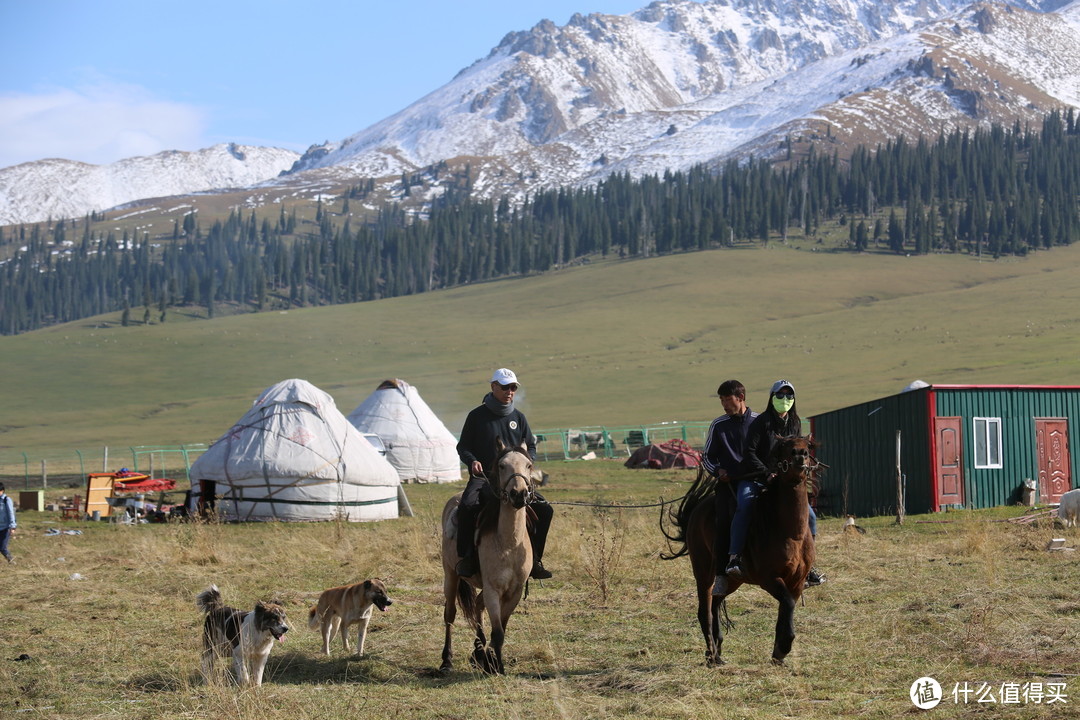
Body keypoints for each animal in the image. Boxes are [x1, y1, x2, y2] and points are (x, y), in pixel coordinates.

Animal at [440, 440, 533, 677]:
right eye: (502, 465)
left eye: (528, 465)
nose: (519, 494)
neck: (508, 543)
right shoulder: (493, 589)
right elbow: (498, 632)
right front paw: (497, 667)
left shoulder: (514, 592)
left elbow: (501, 628)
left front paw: (491, 661)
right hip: (450, 575)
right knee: (450, 615)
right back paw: (447, 661)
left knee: (477, 607)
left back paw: (479, 652)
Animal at [656, 433, 816, 664]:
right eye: (783, 446)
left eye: (807, 446)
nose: (799, 455)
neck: (790, 532)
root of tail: (697, 511)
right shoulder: (769, 579)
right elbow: (787, 604)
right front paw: (783, 647)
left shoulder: (796, 582)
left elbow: (786, 609)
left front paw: (779, 651)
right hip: (703, 573)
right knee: (705, 611)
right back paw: (713, 655)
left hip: (732, 580)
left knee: (715, 603)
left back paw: (716, 649)